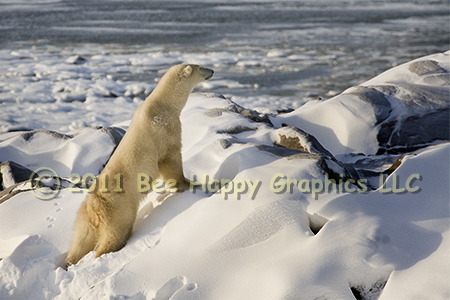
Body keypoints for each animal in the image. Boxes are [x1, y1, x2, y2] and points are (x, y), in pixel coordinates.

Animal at [66, 63, 214, 264]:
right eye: (201, 67)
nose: (212, 71)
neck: (164, 104)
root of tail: (94, 209)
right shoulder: (165, 130)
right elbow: (171, 159)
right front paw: (190, 184)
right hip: (118, 209)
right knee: (114, 233)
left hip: (84, 217)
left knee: (80, 240)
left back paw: (70, 260)